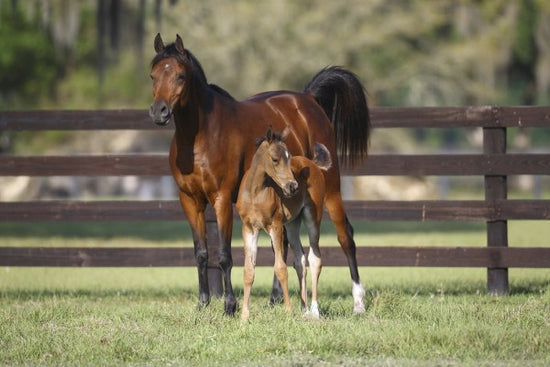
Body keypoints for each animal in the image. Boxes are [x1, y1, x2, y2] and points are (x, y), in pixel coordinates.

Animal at [151, 33, 370, 316]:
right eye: (153, 75)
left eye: (180, 75)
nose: (159, 111)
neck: (200, 136)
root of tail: (308, 99)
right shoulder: (189, 200)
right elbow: (201, 253)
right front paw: (202, 303)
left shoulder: (222, 199)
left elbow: (224, 254)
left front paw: (230, 306)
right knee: (285, 244)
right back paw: (277, 298)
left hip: (331, 190)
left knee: (346, 237)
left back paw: (358, 302)